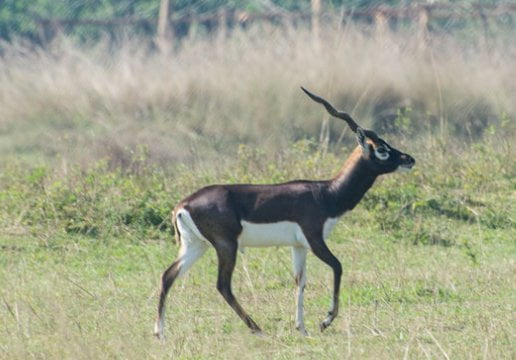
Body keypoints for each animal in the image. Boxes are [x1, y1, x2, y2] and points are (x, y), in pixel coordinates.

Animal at [154, 86, 416, 338]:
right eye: (381, 149)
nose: (409, 159)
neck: (326, 193)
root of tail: (183, 204)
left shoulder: (298, 246)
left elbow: (300, 281)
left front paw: (302, 328)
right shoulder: (315, 239)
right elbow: (338, 266)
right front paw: (325, 321)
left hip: (196, 245)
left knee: (168, 275)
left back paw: (160, 332)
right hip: (226, 245)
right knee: (223, 285)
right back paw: (258, 329)